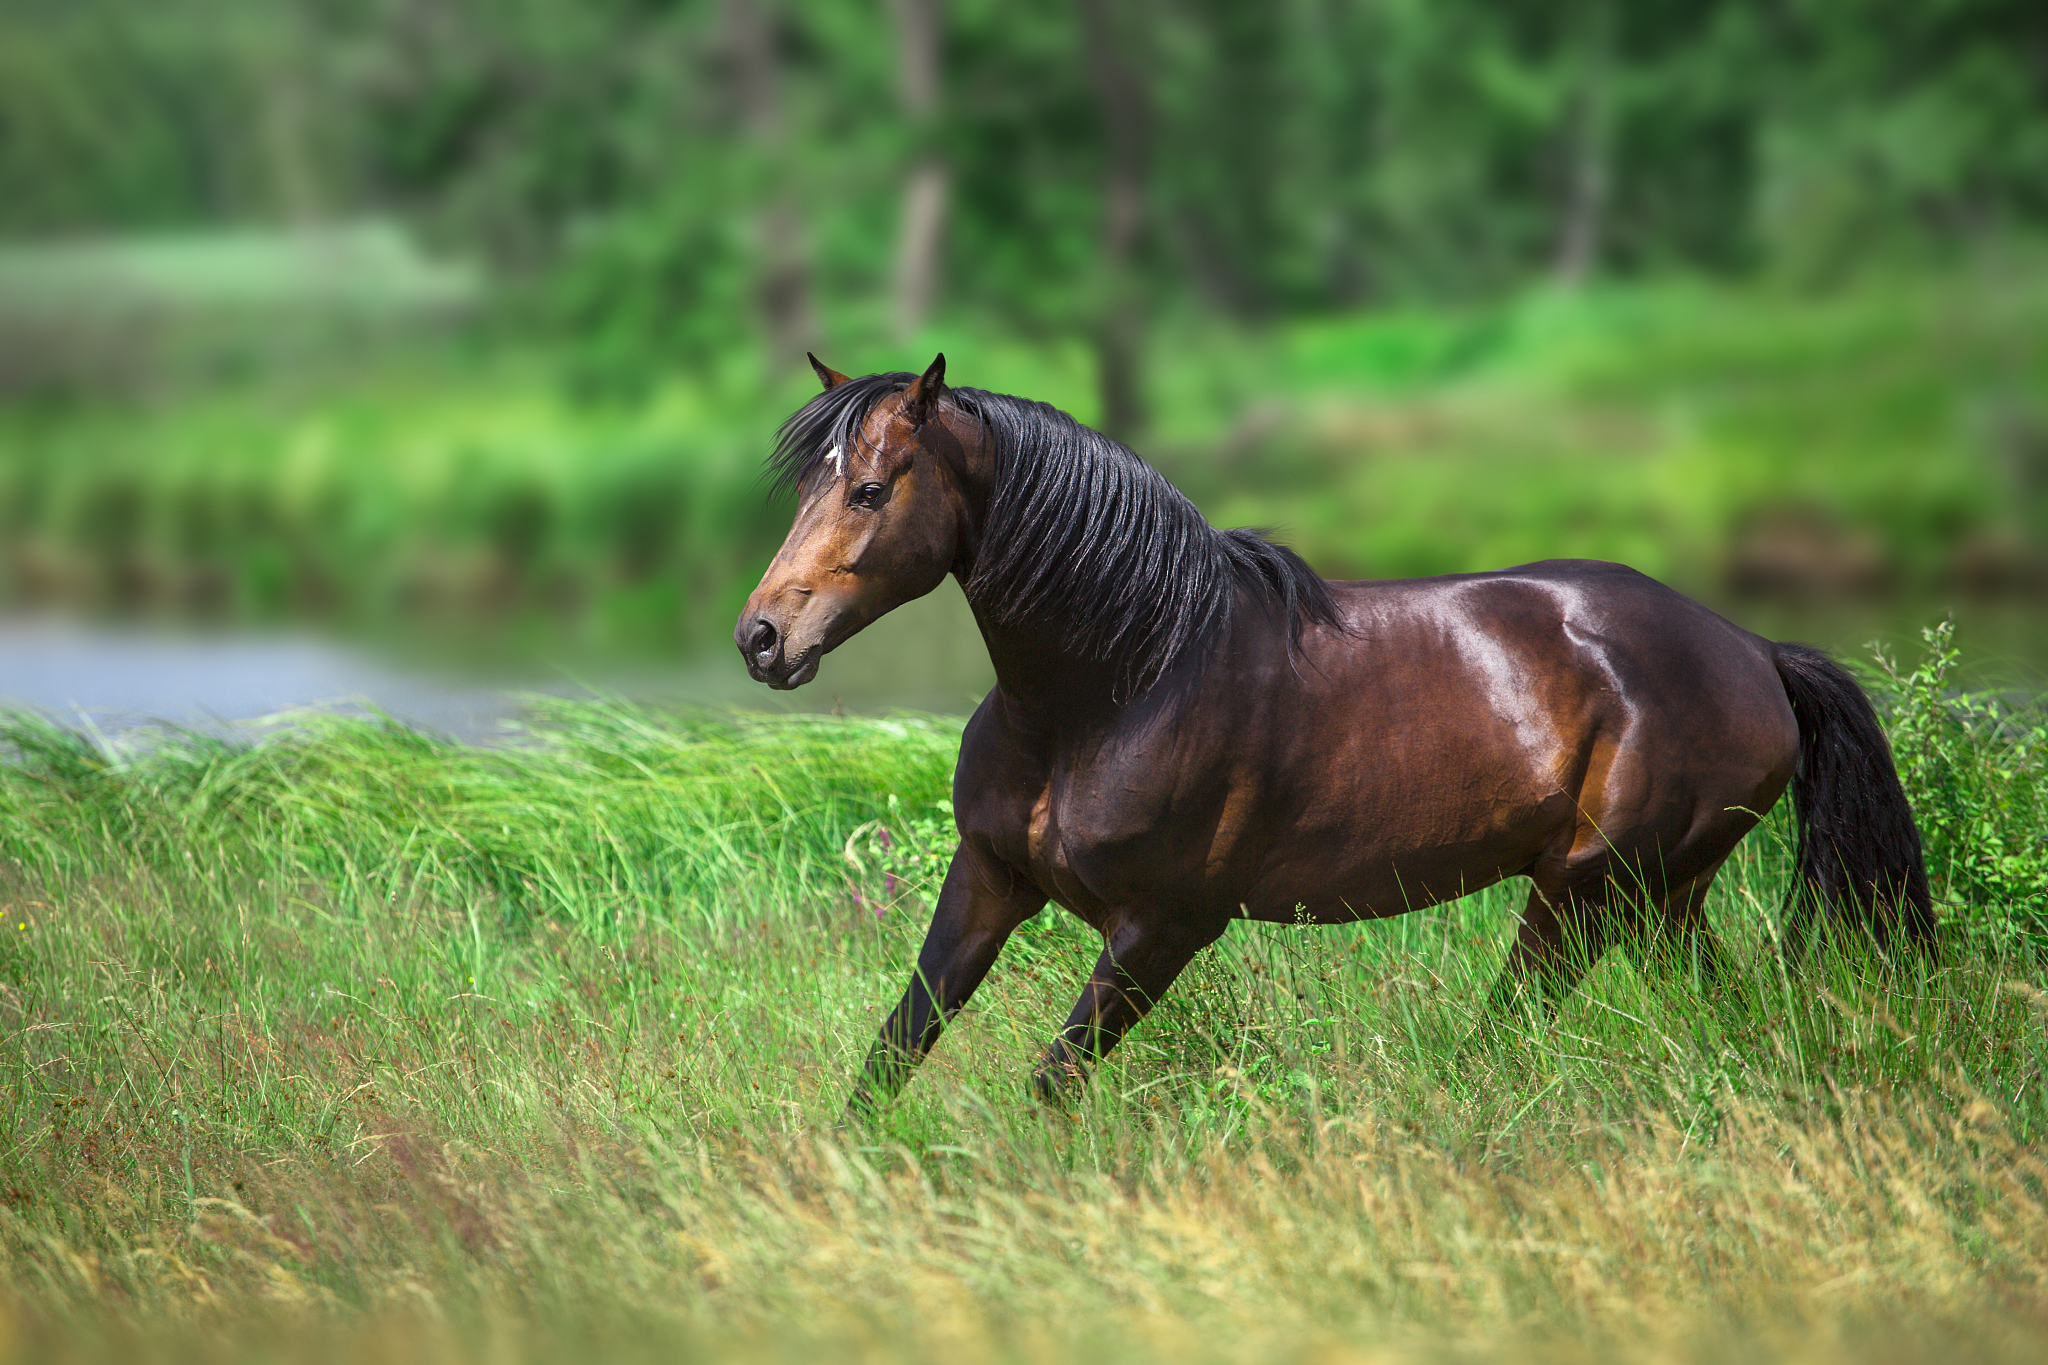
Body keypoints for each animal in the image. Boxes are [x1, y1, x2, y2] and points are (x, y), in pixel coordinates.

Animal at [736, 353, 1933, 1111]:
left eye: (871, 490)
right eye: (803, 491)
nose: (761, 638)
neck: (1115, 686)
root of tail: (1753, 652)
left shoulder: (1163, 926)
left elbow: (1052, 1080)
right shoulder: (988, 879)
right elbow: (891, 1055)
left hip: (1584, 894)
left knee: (1506, 1037)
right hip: (1658, 898)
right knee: (1719, 1007)